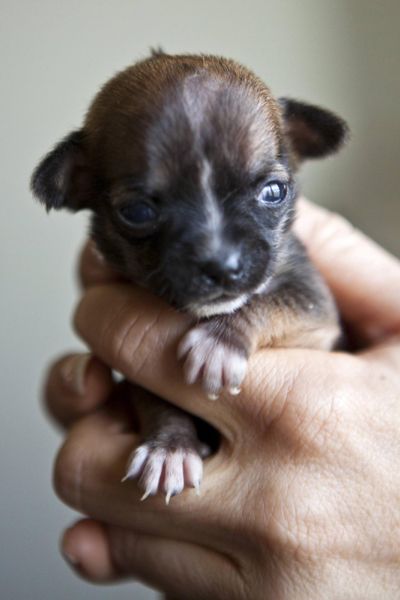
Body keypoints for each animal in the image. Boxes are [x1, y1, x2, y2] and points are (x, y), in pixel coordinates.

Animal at [31, 50, 348, 502]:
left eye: (274, 192)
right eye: (138, 212)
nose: (222, 265)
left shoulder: (315, 307)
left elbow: (274, 301)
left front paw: (220, 342)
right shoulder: (132, 371)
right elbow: (154, 398)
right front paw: (170, 448)